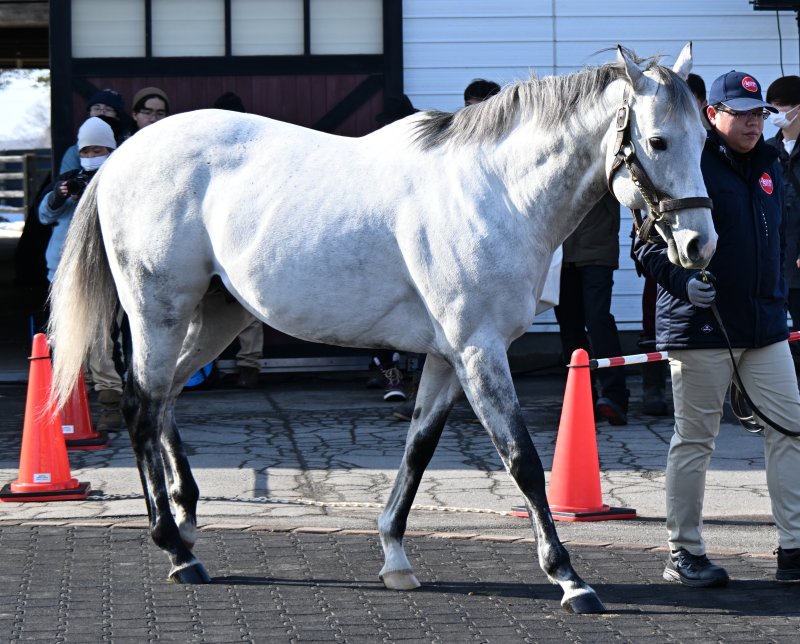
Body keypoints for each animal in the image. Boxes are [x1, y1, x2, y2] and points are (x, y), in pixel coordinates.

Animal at [48, 44, 715, 614]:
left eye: (705, 137)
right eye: (657, 140)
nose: (699, 245)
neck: (496, 193)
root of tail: (121, 158)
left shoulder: (448, 357)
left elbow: (418, 451)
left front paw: (395, 555)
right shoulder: (480, 351)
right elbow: (523, 460)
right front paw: (569, 577)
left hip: (218, 313)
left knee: (164, 400)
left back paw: (187, 522)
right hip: (158, 310)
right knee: (140, 405)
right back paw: (174, 547)